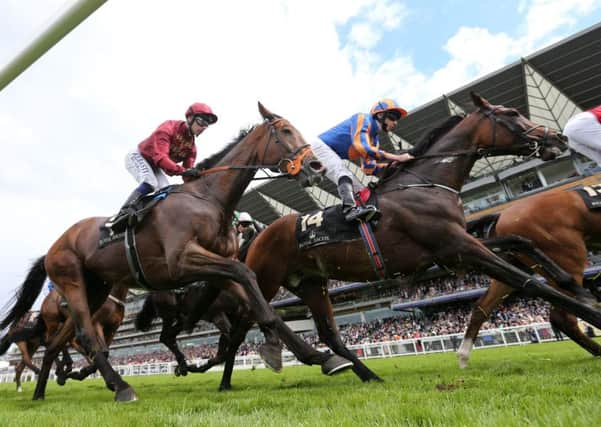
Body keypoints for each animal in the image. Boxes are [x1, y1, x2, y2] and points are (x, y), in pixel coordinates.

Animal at [0, 103, 350, 402]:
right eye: (287, 131)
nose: (316, 166)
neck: (208, 198)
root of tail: (51, 248)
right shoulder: (181, 262)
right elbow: (245, 275)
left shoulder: (219, 269)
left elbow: (255, 297)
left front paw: (318, 356)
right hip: (71, 282)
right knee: (85, 334)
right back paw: (120, 386)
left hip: (95, 289)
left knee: (57, 342)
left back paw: (42, 390)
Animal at [454, 184, 600, 368]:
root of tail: (501, 215)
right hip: (567, 255)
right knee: (563, 315)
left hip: (513, 266)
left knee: (482, 306)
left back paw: (463, 354)